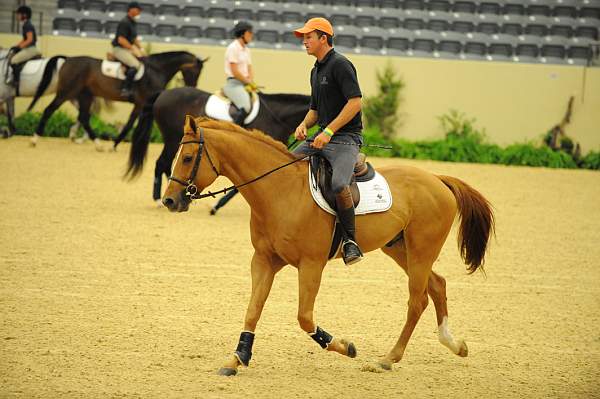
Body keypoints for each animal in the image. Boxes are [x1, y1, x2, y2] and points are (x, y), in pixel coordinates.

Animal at [28, 50, 205, 149]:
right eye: (195, 71)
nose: (192, 86)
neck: (156, 70)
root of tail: (68, 59)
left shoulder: (139, 105)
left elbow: (129, 124)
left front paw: (116, 143)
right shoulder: (142, 103)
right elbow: (130, 125)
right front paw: (116, 144)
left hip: (85, 95)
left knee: (84, 117)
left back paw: (98, 144)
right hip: (67, 92)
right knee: (49, 110)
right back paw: (34, 139)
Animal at [123, 87, 310, 205]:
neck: (275, 115)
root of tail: (164, 92)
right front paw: (216, 206)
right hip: (171, 139)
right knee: (161, 163)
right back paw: (159, 199)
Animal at [162, 117, 494, 376]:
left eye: (188, 158)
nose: (169, 200)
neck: (279, 191)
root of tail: (437, 178)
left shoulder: (311, 265)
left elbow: (304, 317)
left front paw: (345, 347)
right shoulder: (264, 260)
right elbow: (253, 309)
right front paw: (237, 358)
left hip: (421, 250)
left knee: (417, 301)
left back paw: (388, 359)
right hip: (400, 249)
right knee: (437, 285)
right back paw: (454, 344)